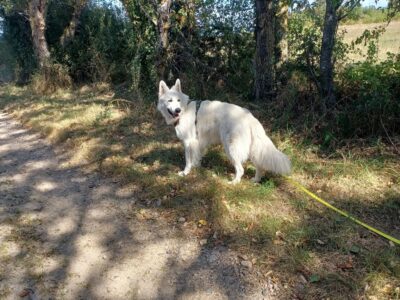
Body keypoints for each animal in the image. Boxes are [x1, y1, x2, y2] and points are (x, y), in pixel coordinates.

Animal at [158, 78, 292, 184]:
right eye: (170, 101)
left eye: (178, 101)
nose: (177, 110)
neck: (185, 109)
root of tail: (250, 118)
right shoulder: (198, 142)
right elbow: (197, 157)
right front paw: (197, 167)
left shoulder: (188, 141)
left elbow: (188, 160)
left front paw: (185, 172)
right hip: (251, 148)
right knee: (259, 165)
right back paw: (256, 180)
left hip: (231, 147)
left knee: (241, 169)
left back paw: (234, 182)